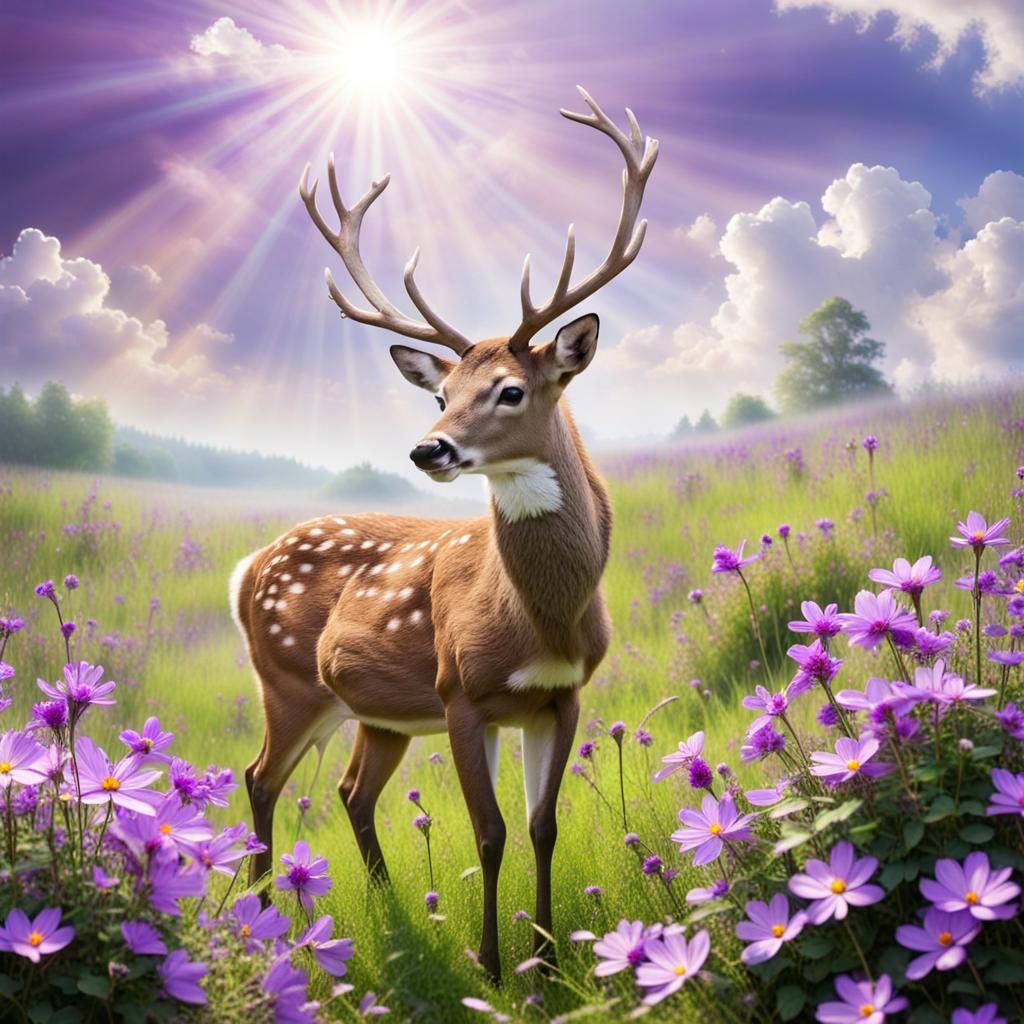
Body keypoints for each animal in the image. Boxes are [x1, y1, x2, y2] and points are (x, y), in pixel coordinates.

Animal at [229, 86, 658, 982]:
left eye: (509, 390)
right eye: (440, 395)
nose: (429, 449)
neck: (542, 618)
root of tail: (249, 568)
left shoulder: (560, 696)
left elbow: (541, 827)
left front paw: (549, 961)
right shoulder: (462, 691)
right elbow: (489, 834)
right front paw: (492, 967)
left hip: (378, 713)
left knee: (351, 791)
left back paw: (389, 909)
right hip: (288, 682)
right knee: (258, 777)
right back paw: (260, 923)